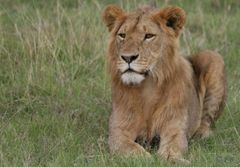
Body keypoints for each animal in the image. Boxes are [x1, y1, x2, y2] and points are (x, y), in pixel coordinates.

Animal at [102, 4, 226, 163]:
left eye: (148, 36)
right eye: (122, 35)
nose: (128, 58)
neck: (147, 88)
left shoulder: (174, 129)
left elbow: (172, 147)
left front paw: (171, 159)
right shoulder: (118, 132)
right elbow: (132, 149)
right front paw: (146, 159)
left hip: (213, 57)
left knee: (206, 122)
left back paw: (200, 136)